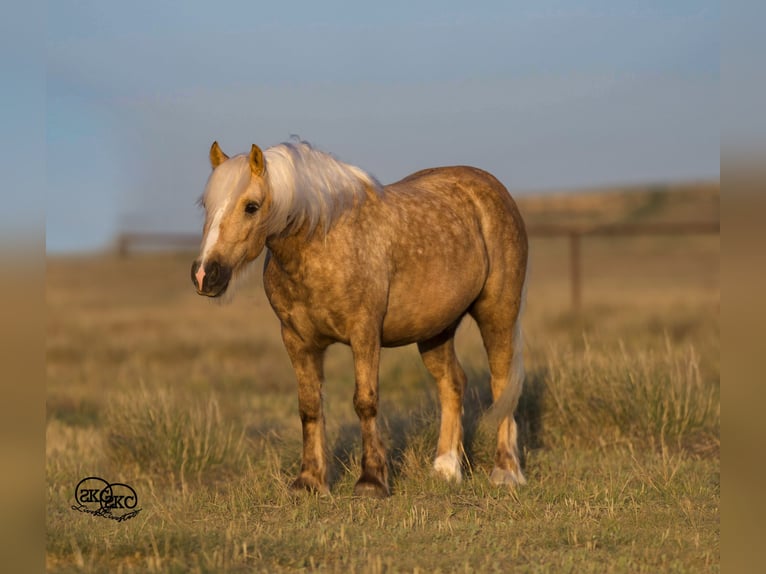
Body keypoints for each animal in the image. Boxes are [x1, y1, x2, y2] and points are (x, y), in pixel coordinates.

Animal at [192, 141, 528, 500]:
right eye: (206, 204)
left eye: (251, 207)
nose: (204, 275)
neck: (323, 241)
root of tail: (491, 188)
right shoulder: (297, 340)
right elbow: (309, 406)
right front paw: (309, 482)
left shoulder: (364, 332)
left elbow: (365, 402)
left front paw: (371, 481)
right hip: (435, 331)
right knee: (452, 383)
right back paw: (446, 469)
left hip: (498, 313)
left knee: (501, 384)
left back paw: (506, 472)